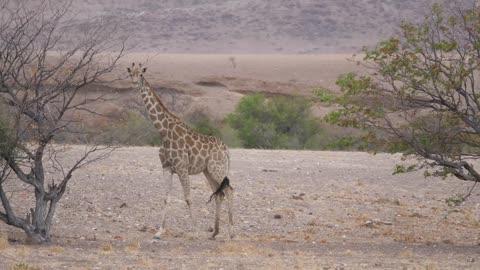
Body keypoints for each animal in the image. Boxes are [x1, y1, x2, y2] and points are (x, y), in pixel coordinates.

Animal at [126, 62, 233, 238]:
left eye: (141, 74)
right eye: (130, 74)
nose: (134, 83)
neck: (163, 132)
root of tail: (226, 149)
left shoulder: (182, 168)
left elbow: (188, 197)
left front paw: (195, 231)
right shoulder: (167, 168)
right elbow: (166, 198)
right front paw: (159, 231)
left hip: (218, 169)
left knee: (229, 190)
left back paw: (231, 232)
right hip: (208, 171)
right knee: (219, 193)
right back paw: (215, 232)